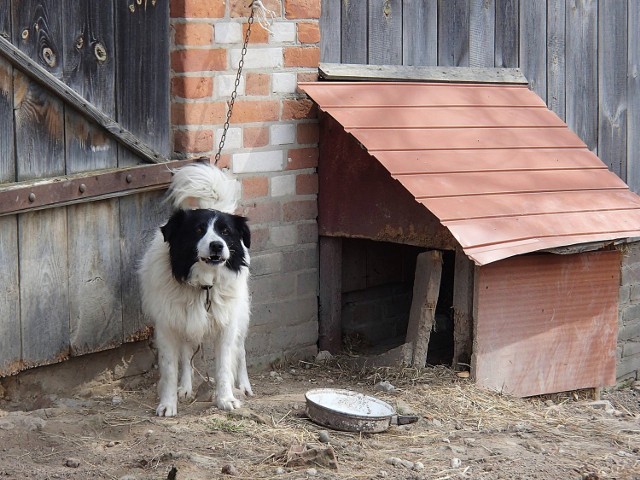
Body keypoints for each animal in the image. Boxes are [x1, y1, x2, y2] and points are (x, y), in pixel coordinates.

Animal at [139, 162, 254, 416]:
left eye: (226, 232)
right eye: (199, 230)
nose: (217, 245)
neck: (203, 285)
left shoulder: (226, 324)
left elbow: (224, 366)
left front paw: (226, 399)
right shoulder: (168, 325)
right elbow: (170, 368)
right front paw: (168, 403)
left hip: (240, 315)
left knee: (241, 350)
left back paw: (244, 385)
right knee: (186, 355)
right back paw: (185, 387)